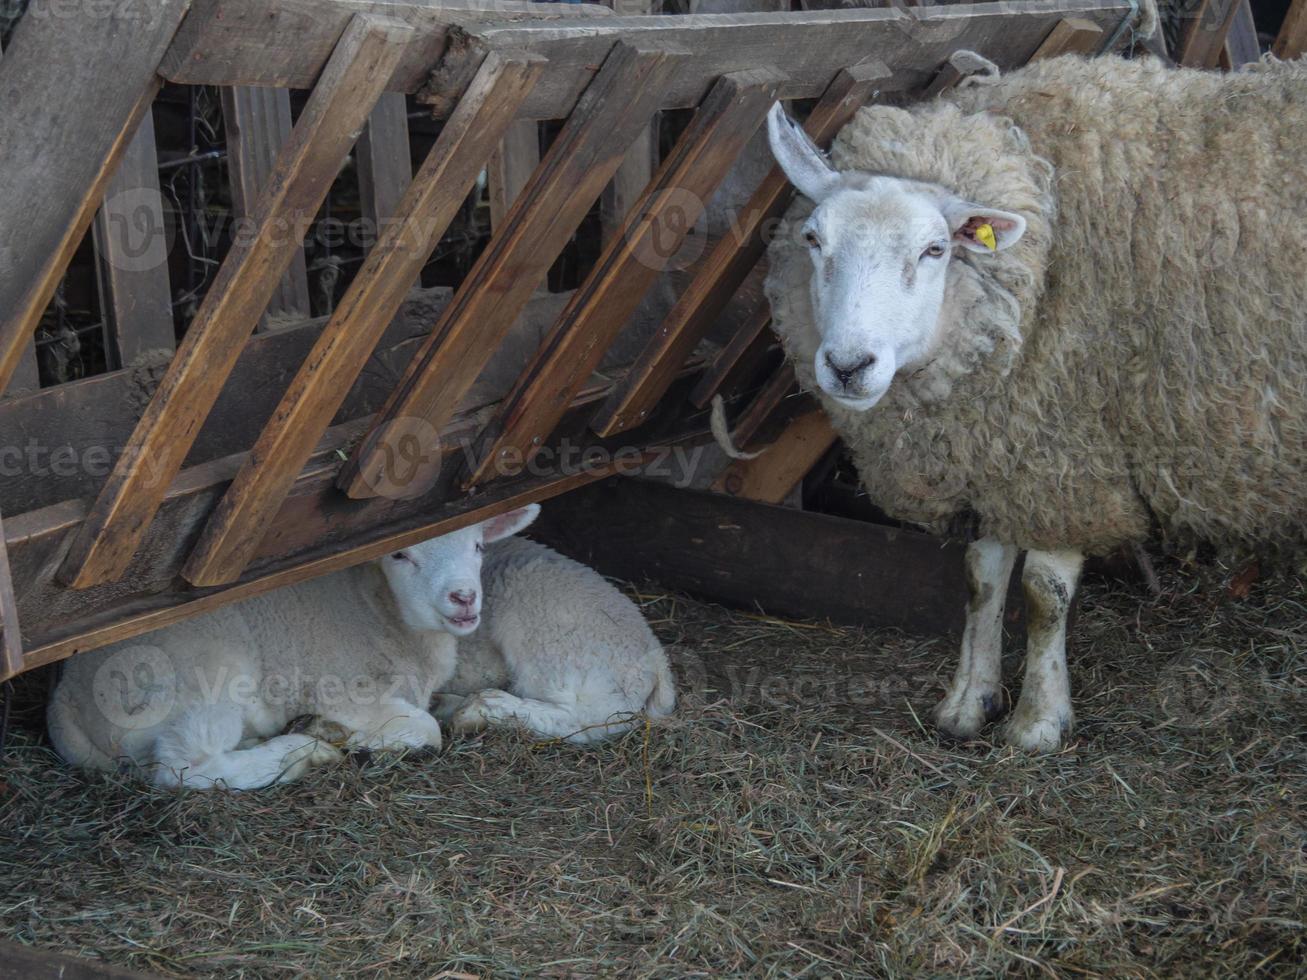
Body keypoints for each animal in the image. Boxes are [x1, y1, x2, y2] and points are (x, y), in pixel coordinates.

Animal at [763, 55, 1307, 752]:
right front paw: (969, 702)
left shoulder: (1064, 454)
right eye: (812, 238)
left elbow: (1042, 592)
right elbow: (981, 575)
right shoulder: (999, 445)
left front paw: (1038, 722)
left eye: (935, 249)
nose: (848, 366)